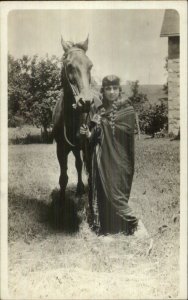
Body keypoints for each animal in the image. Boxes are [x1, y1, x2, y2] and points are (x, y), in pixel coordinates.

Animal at [51, 35, 98, 223]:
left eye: (90, 65)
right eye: (69, 66)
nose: (85, 102)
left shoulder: (88, 147)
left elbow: (91, 176)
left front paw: (92, 213)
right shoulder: (61, 149)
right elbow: (63, 178)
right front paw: (62, 208)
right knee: (78, 164)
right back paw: (78, 189)